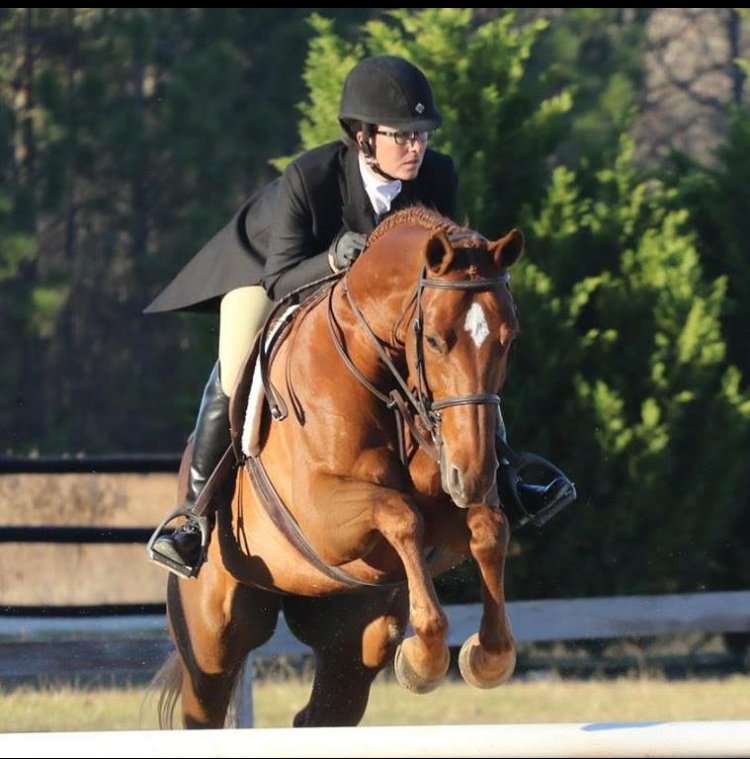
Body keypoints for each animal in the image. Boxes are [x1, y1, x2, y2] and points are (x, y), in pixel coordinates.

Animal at [155, 207, 524, 728]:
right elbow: (400, 514)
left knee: (319, 715)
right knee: (204, 706)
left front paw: (487, 656)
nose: (471, 475)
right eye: (434, 340)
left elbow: (489, 527)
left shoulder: (446, 515)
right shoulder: (322, 517)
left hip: (348, 638)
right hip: (213, 636)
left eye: (508, 341)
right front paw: (424, 658)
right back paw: (183, 539)